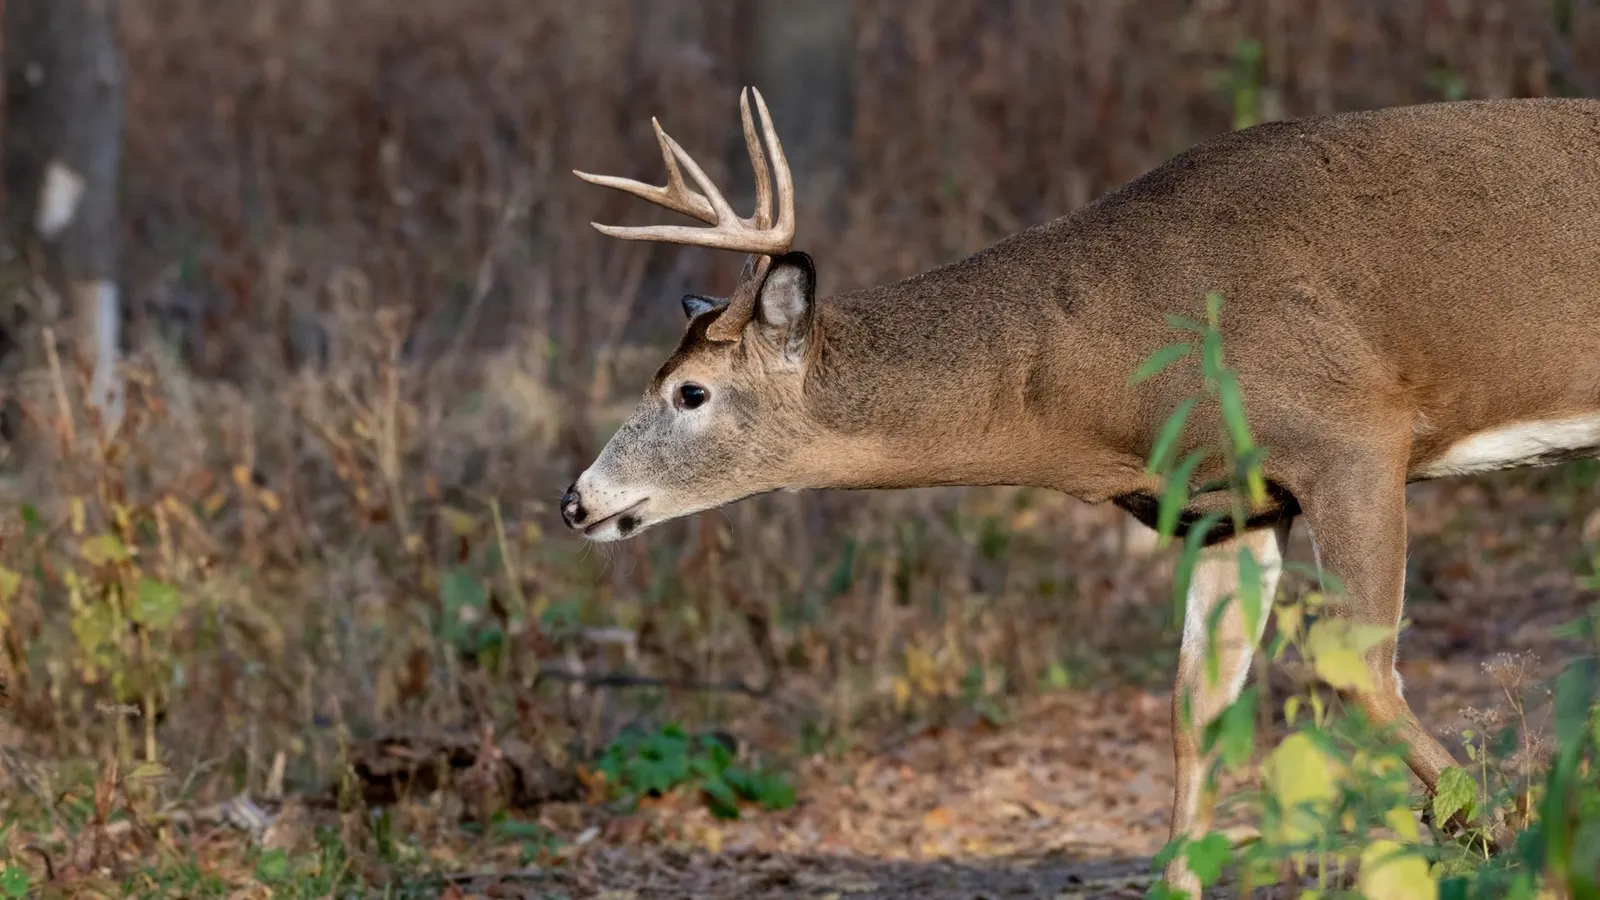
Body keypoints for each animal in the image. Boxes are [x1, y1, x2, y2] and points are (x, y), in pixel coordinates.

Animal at [559, 87, 1600, 895]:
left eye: (691, 393)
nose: (577, 500)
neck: (1115, 382)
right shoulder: (1227, 507)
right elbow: (1193, 713)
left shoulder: (1354, 438)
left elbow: (1363, 675)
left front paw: (1520, 848)